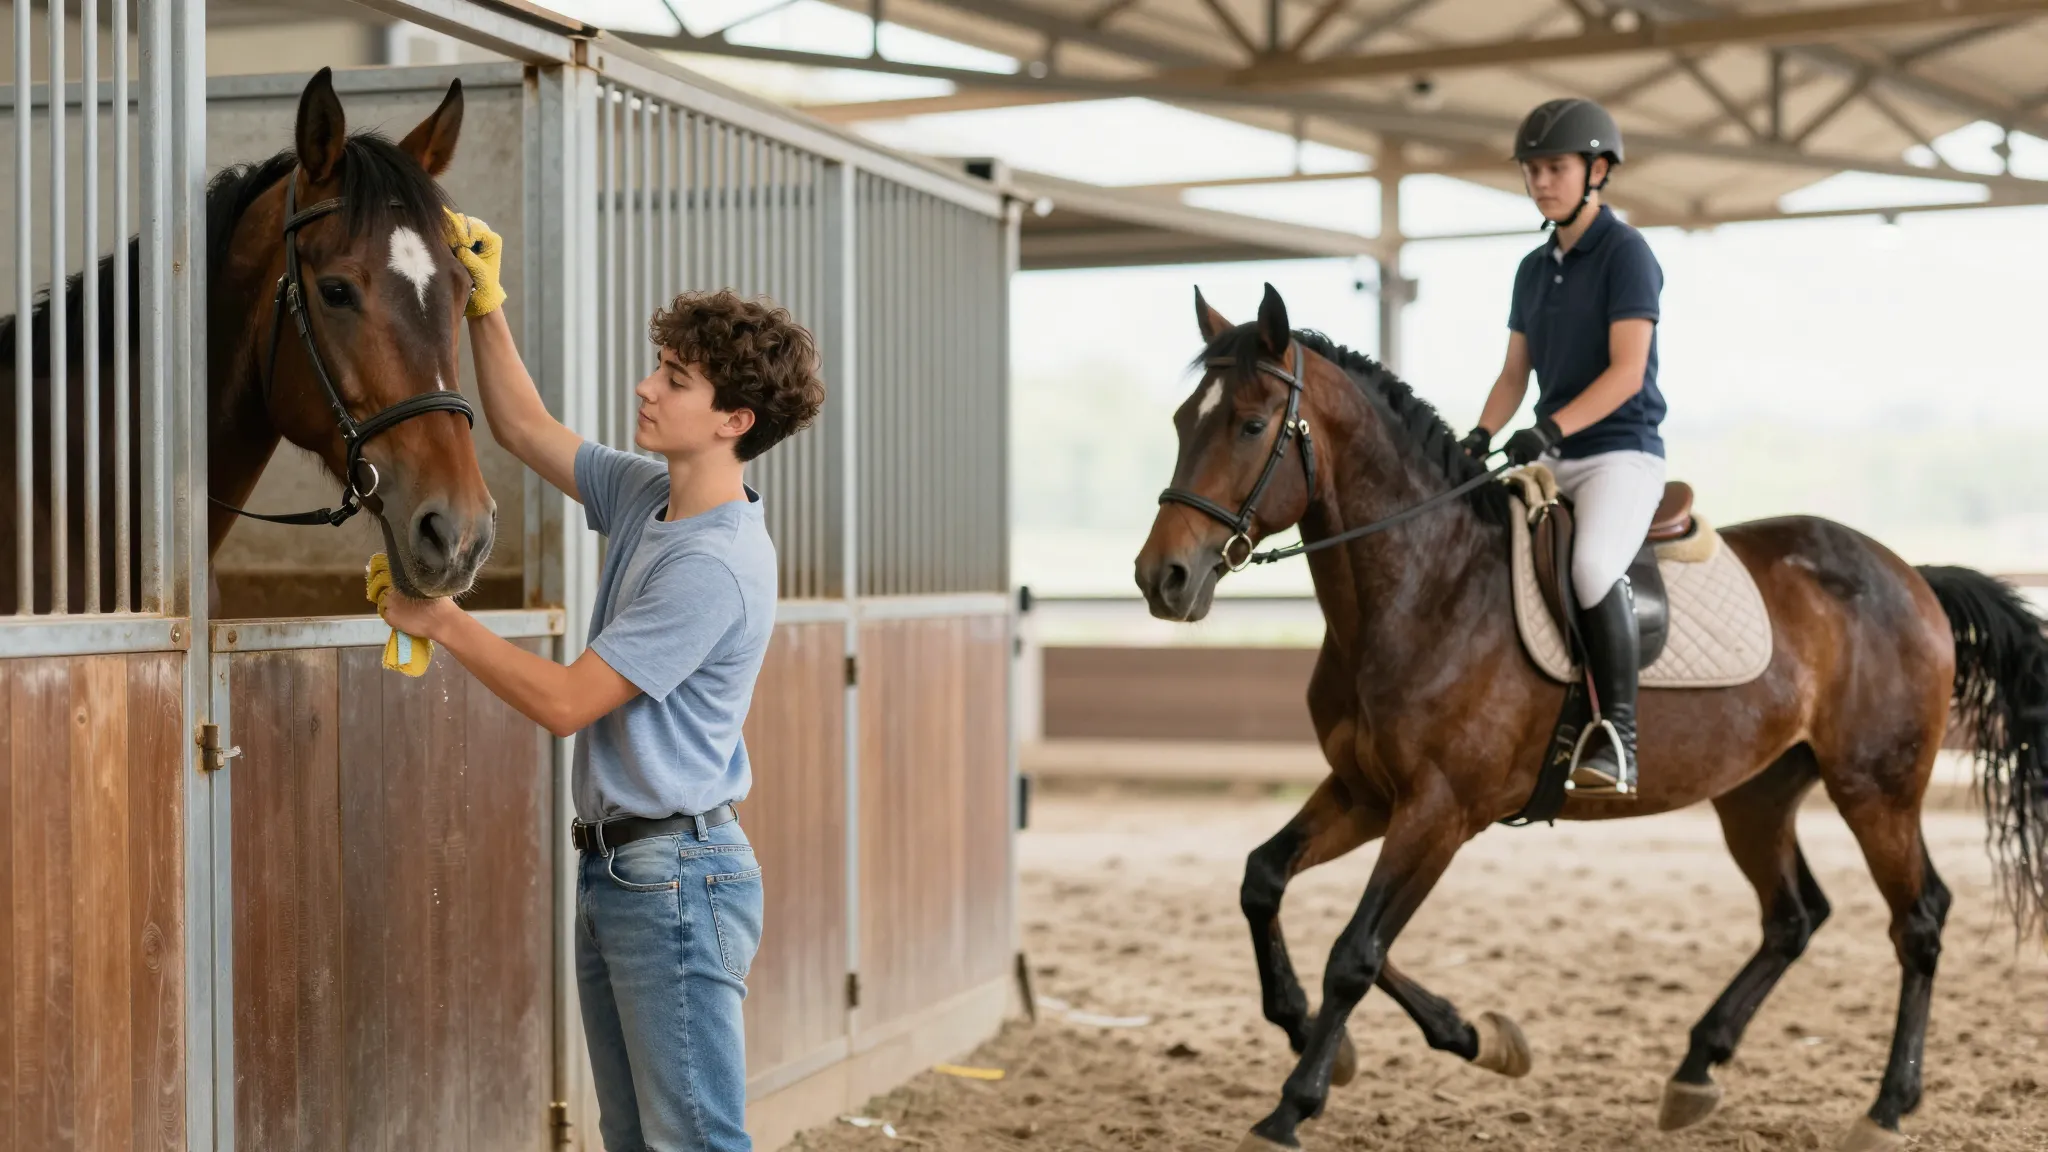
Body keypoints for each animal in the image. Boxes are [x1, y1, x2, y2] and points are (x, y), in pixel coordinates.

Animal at [1133, 284, 2048, 1152]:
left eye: (1252, 425)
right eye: (1181, 422)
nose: (1161, 578)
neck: (1424, 584)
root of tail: (1911, 575)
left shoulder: (1439, 811)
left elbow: (1356, 952)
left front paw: (1294, 1105)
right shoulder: (1369, 794)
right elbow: (1268, 884)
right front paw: (1463, 1036)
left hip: (1874, 789)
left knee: (1918, 920)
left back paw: (1886, 1107)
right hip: (1756, 793)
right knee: (1794, 917)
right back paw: (1695, 1071)